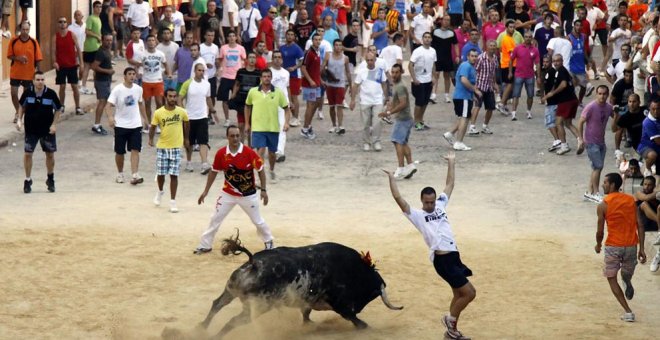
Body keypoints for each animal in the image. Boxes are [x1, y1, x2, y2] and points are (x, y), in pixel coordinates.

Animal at [199, 235, 402, 338]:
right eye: (372, 293)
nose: (358, 308)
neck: (353, 269)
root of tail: (253, 263)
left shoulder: (309, 301)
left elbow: (306, 313)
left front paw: (307, 325)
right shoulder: (340, 304)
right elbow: (353, 319)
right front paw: (366, 326)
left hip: (231, 290)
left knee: (217, 304)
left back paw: (200, 328)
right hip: (258, 307)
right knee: (234, 320)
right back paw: (213, 336)